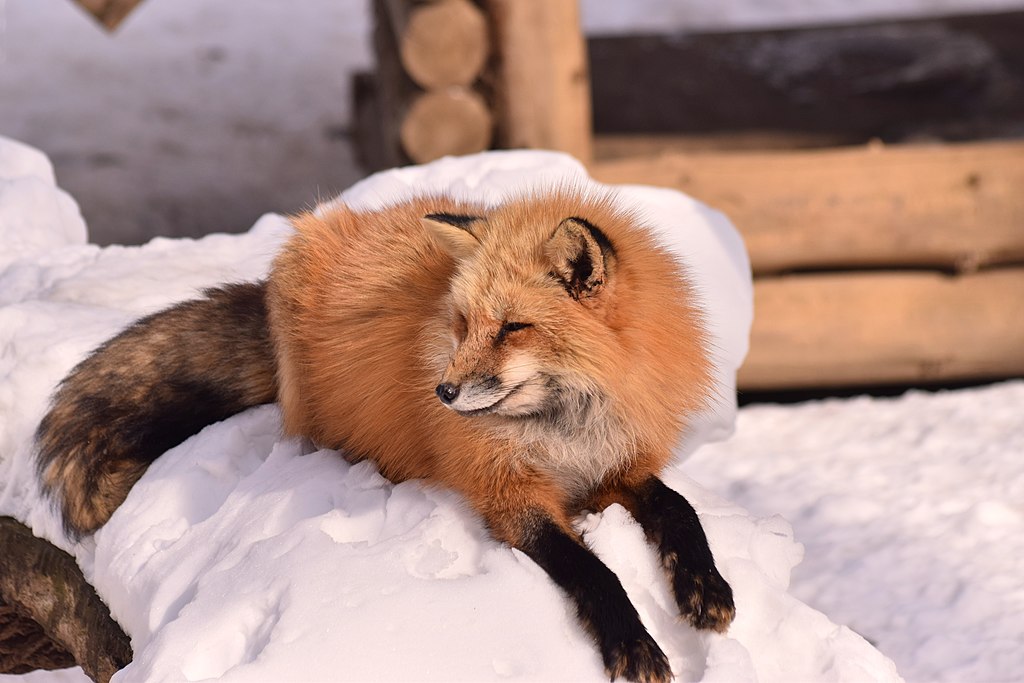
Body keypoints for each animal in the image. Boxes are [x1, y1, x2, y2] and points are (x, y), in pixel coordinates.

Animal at [36, 188, 733, 683]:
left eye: (513, 328)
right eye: (462, 324)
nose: (443, 394)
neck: (566, 429)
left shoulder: (616, 469)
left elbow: (679, 508)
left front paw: (706, 587)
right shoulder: (508, 495)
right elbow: (593, 571)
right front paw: (633, 643)